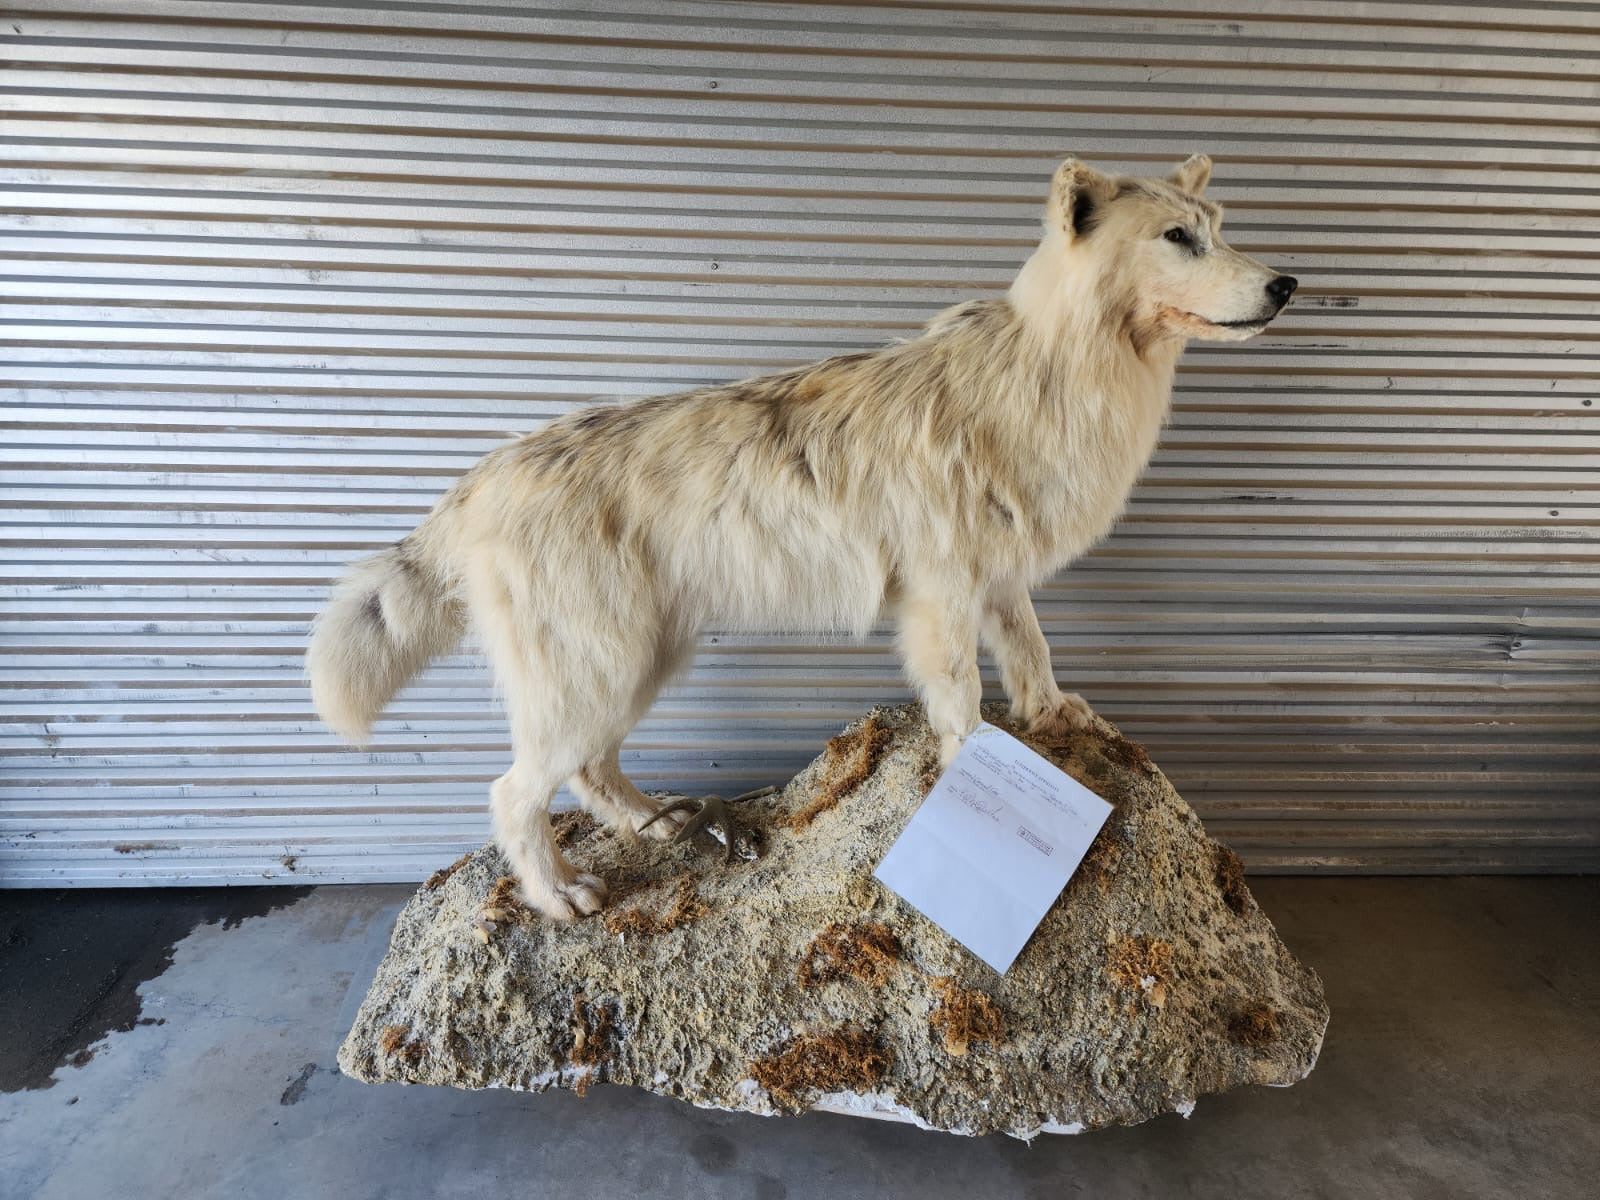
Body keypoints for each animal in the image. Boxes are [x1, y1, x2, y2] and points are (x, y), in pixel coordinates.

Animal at [307, 154, 1296, 919]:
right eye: (1178, 238)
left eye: (1220, 228)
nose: (1286, 285)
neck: (1053, 372)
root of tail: (480, 479)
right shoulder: (942, 600)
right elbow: (963, 704)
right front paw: (973, 781)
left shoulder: (1000, 581)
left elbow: (1033, 654)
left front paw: (1055, 719)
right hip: (600, 671)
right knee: (512, 795)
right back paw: (562, 896)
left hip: (634, 665)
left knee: (589, 770)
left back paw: (655, 823)